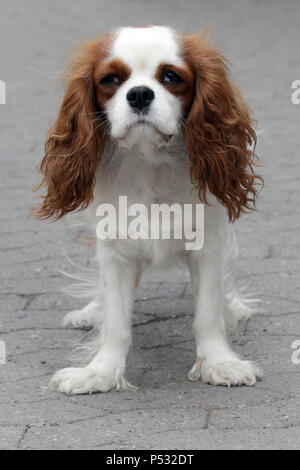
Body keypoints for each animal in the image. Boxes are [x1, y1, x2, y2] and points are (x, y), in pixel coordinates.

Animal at [34, 24, 262, 392]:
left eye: (171, 77)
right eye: (110, 80)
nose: (139, 94)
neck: (149, 161)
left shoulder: (208, 245)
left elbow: (207, 314)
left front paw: (219, 363)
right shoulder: (114, 251)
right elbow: (116, 323)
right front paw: (101, 372)